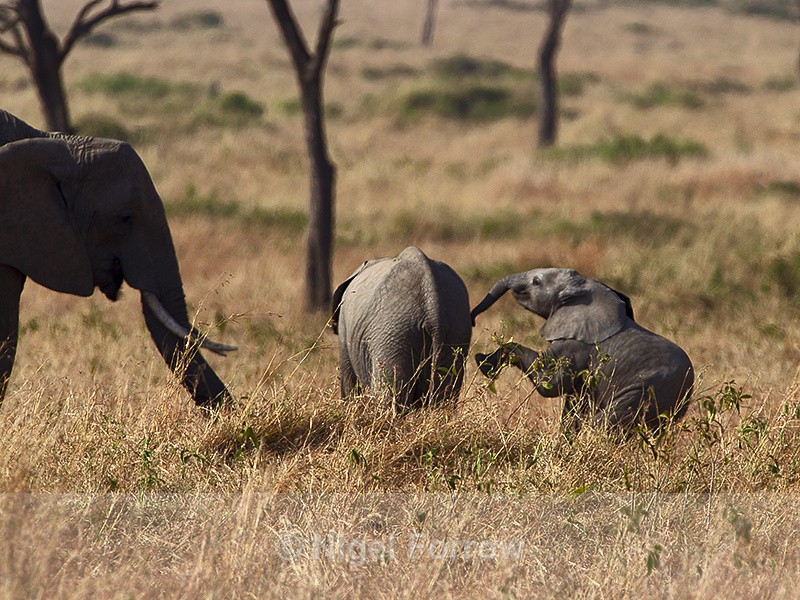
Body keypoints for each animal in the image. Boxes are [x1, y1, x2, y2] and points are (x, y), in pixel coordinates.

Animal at [331, 246, 472, 408]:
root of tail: (433, 307)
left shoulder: (344, 330)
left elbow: (349, 384)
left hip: (393, 333)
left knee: (391, 397)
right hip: (455, 330)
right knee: (443, 396)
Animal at [471, 268, 694, 431]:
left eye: (536, 281)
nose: (472, 318)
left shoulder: (576, 348)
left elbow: (550, 384)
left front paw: (484, 363)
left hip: (646, 390)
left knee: (606, 424)